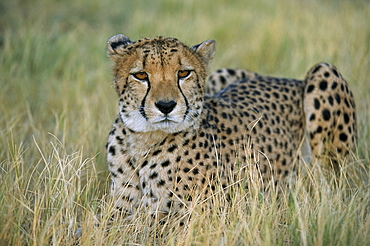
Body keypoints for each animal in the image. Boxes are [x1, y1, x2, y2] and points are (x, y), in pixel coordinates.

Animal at [105, 34, 356, 221]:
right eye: (141, 75)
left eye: (184, 73)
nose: (166, 106)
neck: (143, 140)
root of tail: (287, 79)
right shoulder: (121, 207)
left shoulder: (202, 215)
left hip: (323, 73)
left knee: (330, 184)